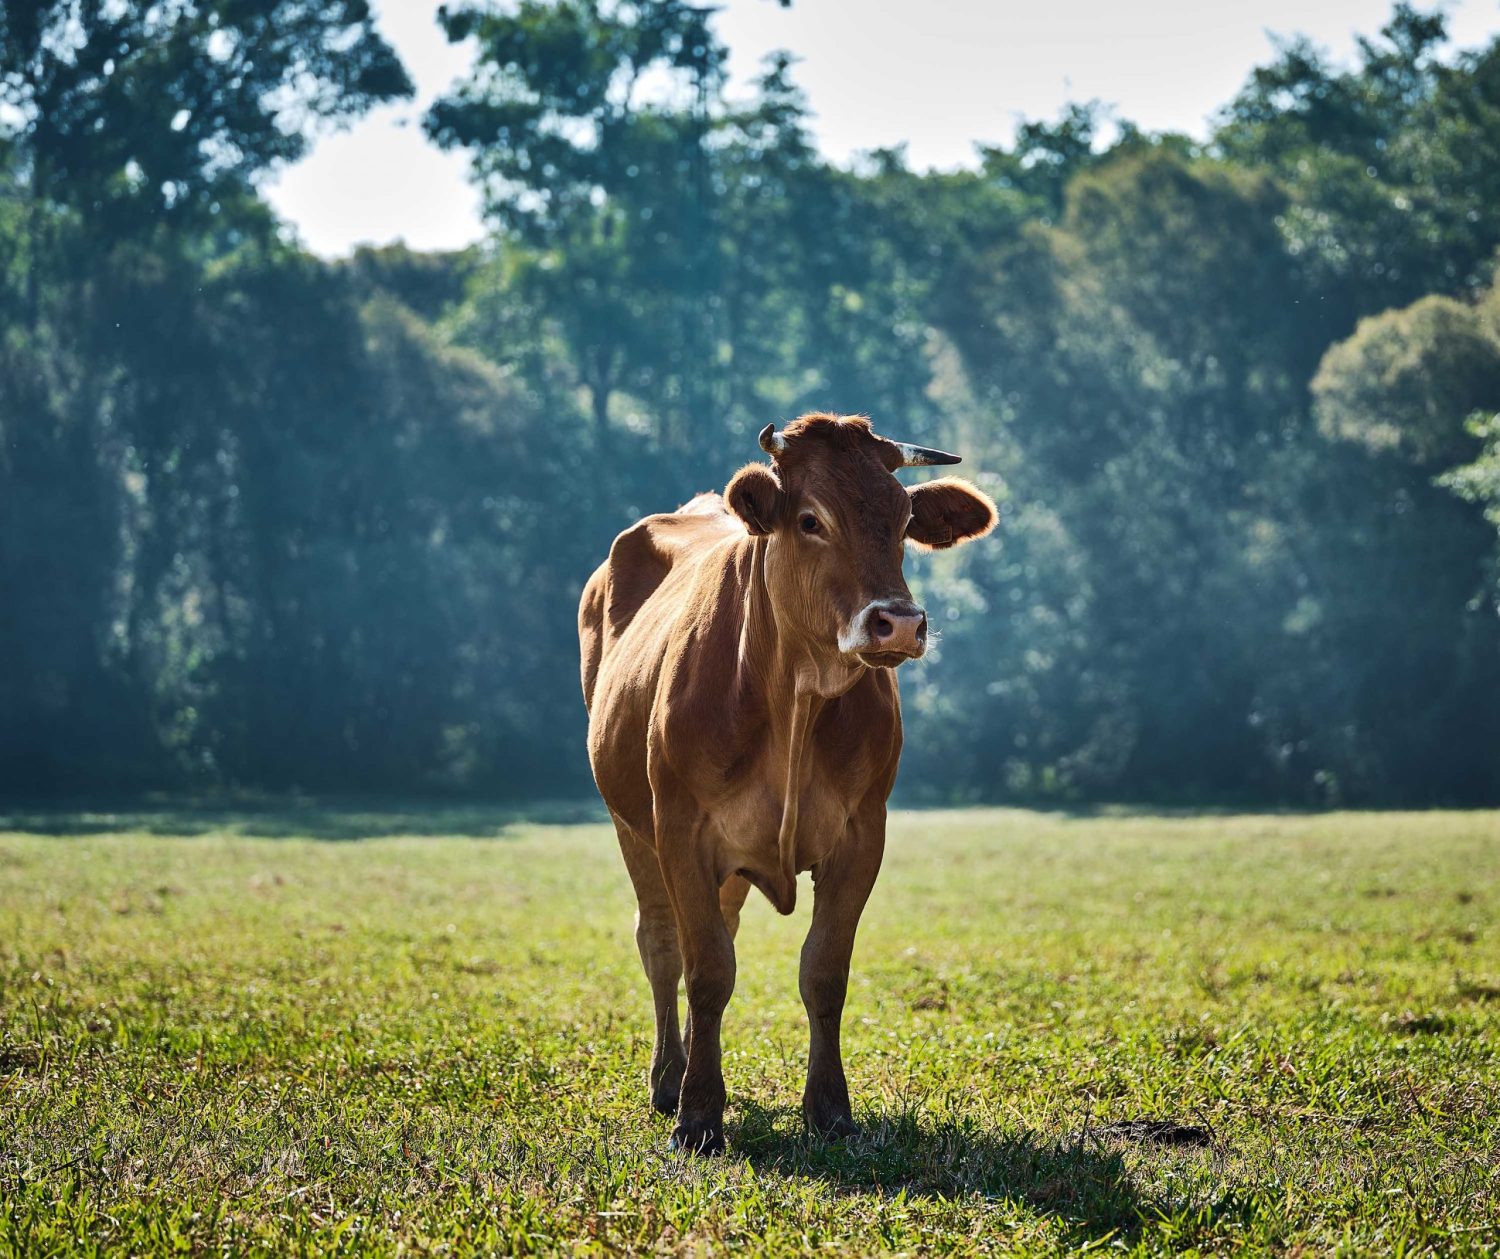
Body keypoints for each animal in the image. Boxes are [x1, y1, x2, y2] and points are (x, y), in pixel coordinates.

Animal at [573, 411, 996, 1152]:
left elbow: (822, 971)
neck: (793, 695)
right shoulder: (679, 827)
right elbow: (706, 968)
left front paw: (829, 1108)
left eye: (903, 519)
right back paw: (669, 1077)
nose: (899, 622)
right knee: (662, 943)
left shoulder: (862, 832)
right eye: (810, 519)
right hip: (631, 824)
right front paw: (698, 1114)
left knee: (718, 929)